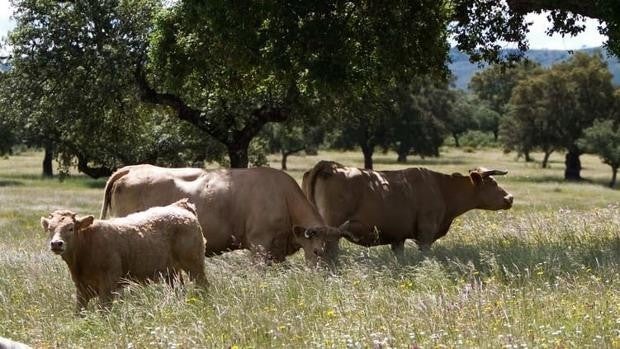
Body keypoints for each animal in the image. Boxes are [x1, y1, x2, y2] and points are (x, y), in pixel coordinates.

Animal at [40, 198, 208, 312]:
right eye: (50, 228)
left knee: (203, 286)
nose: (56, 244)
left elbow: (104, 310)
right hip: (171, 272)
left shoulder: (108, 284)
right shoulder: (81, 288)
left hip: (195, 265)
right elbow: (79, 312)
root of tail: (181, 207)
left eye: (70, 228)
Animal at [302, 160, 512, 256]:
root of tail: (330, 165)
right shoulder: (426, 234)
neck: (441, 188)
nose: (510, 198)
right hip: (331, 227)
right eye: (492, 183)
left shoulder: (398, 238)